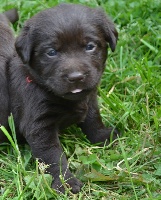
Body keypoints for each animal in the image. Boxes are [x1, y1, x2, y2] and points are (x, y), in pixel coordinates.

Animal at [0, 3, 118, 193]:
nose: (76, 77)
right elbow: (53, 156)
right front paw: (65, 182)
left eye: (90, 46)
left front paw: (103, 136)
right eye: (51, 52)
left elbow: (93, 119)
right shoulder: (40, 126)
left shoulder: (90, 99)